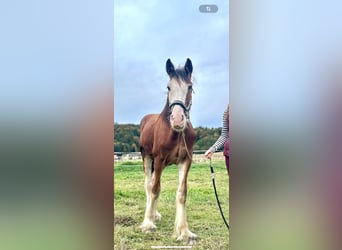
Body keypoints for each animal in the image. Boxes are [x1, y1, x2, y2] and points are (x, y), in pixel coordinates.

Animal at [139, 58, 196, 242]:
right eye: (168, 87)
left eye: (190, 86)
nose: (177, 120)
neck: (176, 133)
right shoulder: (158, 159)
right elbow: (155, 189)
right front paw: (148, 224)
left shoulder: (185, 160)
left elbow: (182, 193)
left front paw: (184, 231)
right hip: (148, 158)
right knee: (149, 185)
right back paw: (149, 216)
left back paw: (155, 214)